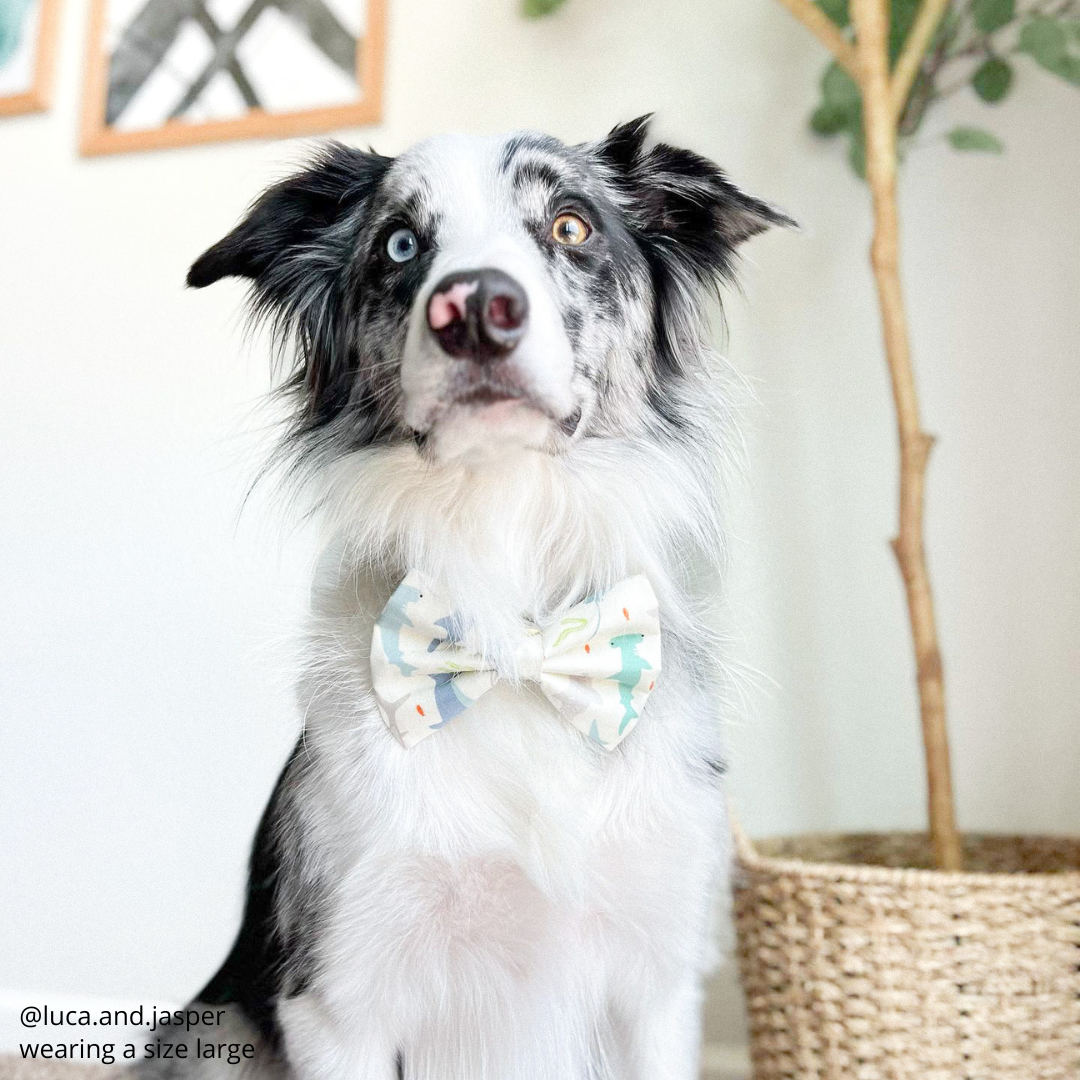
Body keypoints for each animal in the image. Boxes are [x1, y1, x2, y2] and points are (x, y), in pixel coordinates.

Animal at [147, 118, 790, 1080]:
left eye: (570, 225)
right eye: (400, 244)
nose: (476, 307)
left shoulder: (658, 983)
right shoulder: (340, 996)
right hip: (211, 1034)